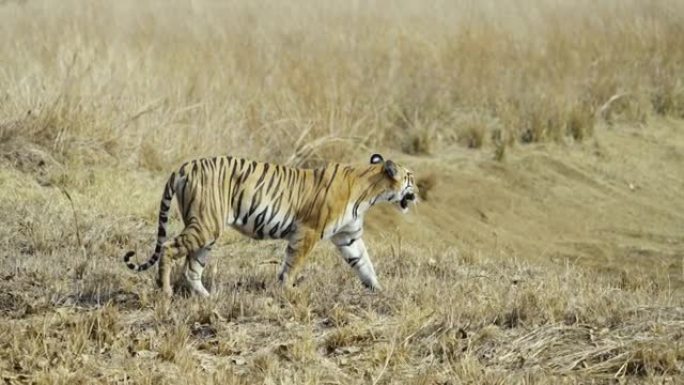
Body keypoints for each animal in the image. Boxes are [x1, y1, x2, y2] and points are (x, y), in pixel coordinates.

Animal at [123, 152, 416, 296]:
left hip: (207, 231)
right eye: (410, 177)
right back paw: (166, 291)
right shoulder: (307, 232)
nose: (418, 191)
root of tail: (183, 167)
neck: (370, 192)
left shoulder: (348, 236)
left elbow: (365, 264)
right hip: (205, 225)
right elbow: (293, 265)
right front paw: (286, 291)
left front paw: (379, 290)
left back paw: (207, 298)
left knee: (192, 267)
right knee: (169, 249)